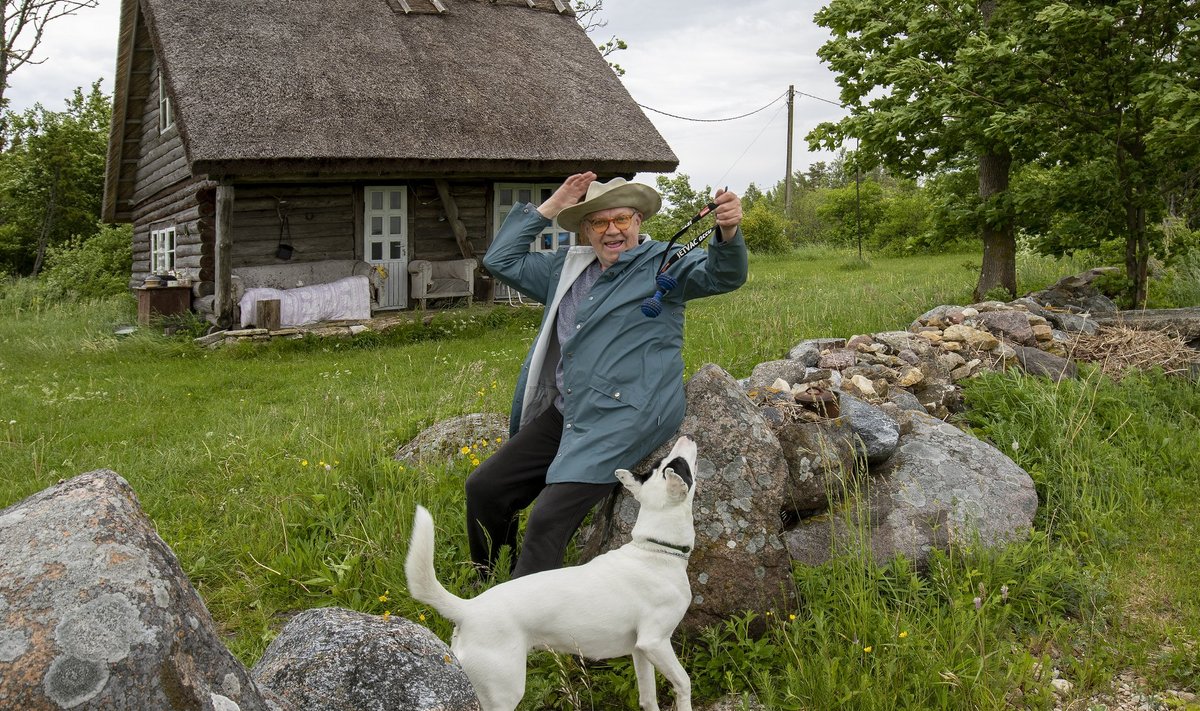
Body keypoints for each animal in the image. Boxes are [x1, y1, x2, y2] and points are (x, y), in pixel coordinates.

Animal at [408, 437, 700, 711]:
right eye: (680, 466)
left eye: (663, 464)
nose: (685, 437)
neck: (655, 548)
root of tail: (468, 609)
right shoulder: (655, 642)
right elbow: (684, 683)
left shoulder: (640, 651)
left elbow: (648, 698)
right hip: (503, 692)